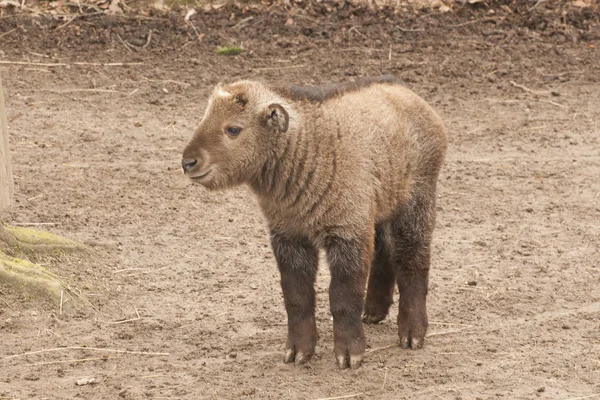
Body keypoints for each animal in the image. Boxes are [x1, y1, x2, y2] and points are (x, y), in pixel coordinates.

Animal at [180, 76, 448, 370]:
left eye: (233, 129)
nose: (188, 162)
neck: (308, 149)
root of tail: (410, 96)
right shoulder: (289, 236)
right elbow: (296, 297)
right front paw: (298, 352)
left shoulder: (347, 232)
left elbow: (343, 297)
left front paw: (349, 354)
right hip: (380, 205)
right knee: (384, 252)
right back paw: (374, 312)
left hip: (416, 200)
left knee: (413, 260)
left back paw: (412, 333)